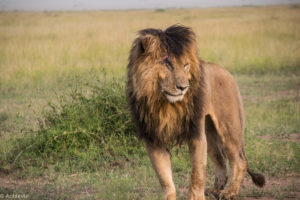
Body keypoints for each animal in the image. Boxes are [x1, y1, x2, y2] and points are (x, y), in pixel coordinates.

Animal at [126, 25, 264, 200]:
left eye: (185, 65)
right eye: (167, 64)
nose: (183, 87)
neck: (165, 103)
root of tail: (226, 72)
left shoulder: (196, 134)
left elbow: (197, 174)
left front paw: (196, 197)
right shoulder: (154, 139)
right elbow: (165, 178)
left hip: (228, 125)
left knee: (239, 160)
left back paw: (229, 192)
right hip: (210, 131)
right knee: (220, 161)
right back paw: (214, 190)